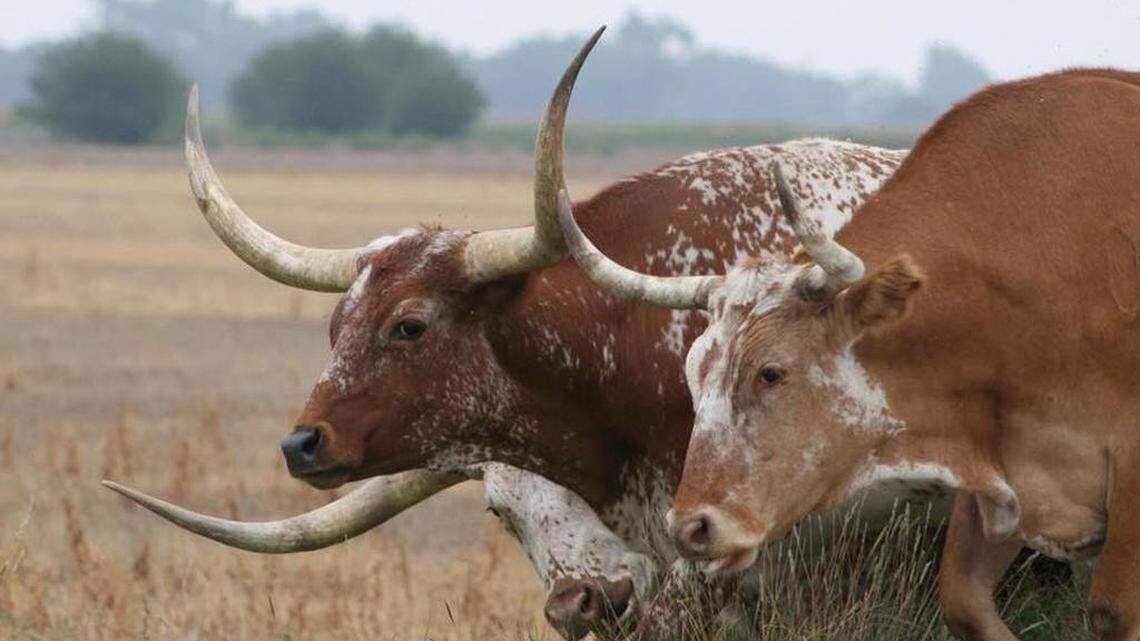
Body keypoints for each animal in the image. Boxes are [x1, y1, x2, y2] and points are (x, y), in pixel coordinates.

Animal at [556, 68, 1140, 641]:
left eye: (771, 373)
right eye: (694, 378)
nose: (691, 527)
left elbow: (1110, 610)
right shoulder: (999, 478)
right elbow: (963, 603)